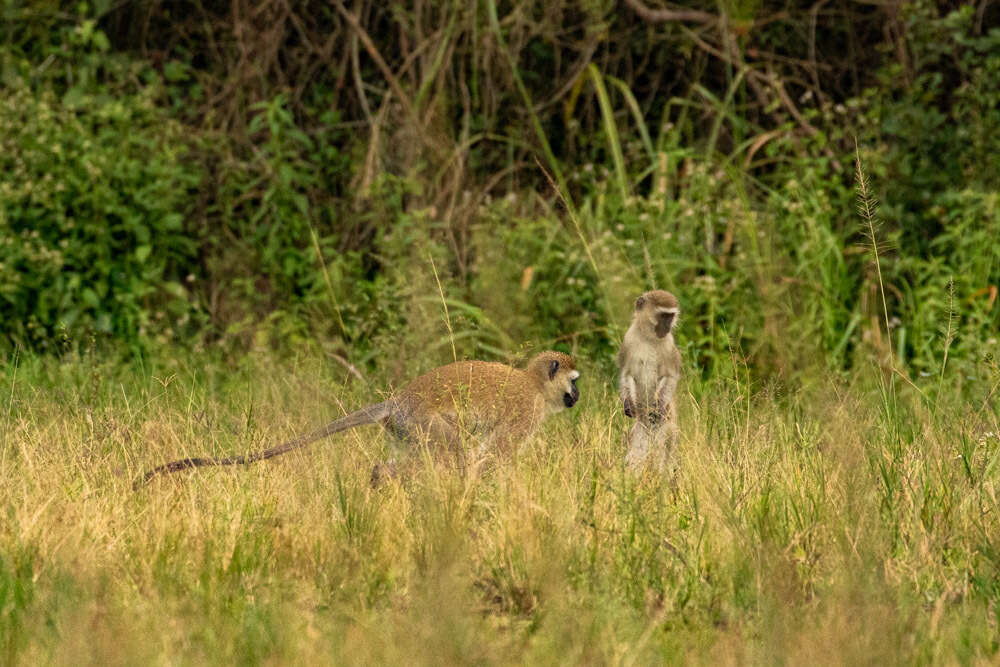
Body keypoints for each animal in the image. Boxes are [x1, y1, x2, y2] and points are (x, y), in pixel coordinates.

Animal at [137, 352, 584, 488]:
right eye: (574, 381)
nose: (579, 396)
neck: (534, 383)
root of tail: (396, 402)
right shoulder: (525, 414)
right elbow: (496, 456)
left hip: (405, 432)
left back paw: (380, 482)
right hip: (423, 423)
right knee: (450, 455)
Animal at [616, 290, 680, 470]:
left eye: (671, 316)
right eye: (663, 316)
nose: (667, 327)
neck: (647, 337)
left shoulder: (669, 344)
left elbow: (670, 376)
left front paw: (658, 406)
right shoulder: (628, 341)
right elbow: (626, 374)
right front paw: (628, 405)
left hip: (665, 424)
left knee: (662, 450)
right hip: (642, 427)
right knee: (638, 452)